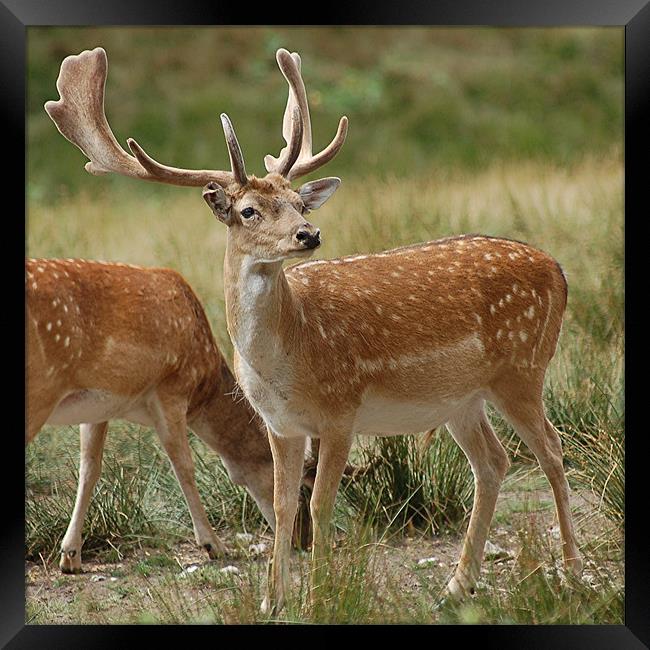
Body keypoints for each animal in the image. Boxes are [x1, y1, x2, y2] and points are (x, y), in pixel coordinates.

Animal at [45, 48, 584, 612]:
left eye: (299, 203)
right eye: (248, 210)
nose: (309, 233)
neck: (287, 357)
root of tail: (559, 271)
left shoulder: (341, 410)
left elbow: (322, 504)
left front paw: (321, 596)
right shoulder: (282, 424)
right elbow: (284, 507)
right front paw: (272, 600)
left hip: (522, 369)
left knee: (551, 451)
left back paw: (571, 571)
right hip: (461, 398)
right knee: (494, 461)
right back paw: (457, 585)